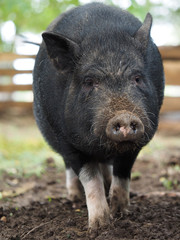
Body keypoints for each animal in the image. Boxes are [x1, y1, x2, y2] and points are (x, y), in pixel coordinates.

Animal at [33, 2, 165, 231]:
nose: (124, 116)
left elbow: (122, 173)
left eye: (137, 78)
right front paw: (99, 225)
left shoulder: (136, 144)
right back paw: (74, 198)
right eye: (89, 82)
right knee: (71, 168)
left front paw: (120, 213)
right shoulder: (68, 142)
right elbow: (89, 177)